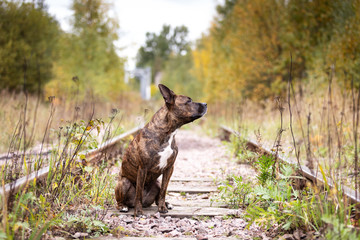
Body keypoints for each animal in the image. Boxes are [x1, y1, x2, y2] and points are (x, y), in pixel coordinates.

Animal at [114, 84, 207, 216]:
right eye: (188, 101)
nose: (205, 104)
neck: (168, 132)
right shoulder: (143, 168)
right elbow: (138, 193)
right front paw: (138, 211)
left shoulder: (169, 168)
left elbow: (164, 190)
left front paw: (162, 207)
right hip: (124, 183)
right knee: (121, 200)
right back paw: (124, 206)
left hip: (156, 182)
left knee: (157, 196)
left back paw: (166, 204)